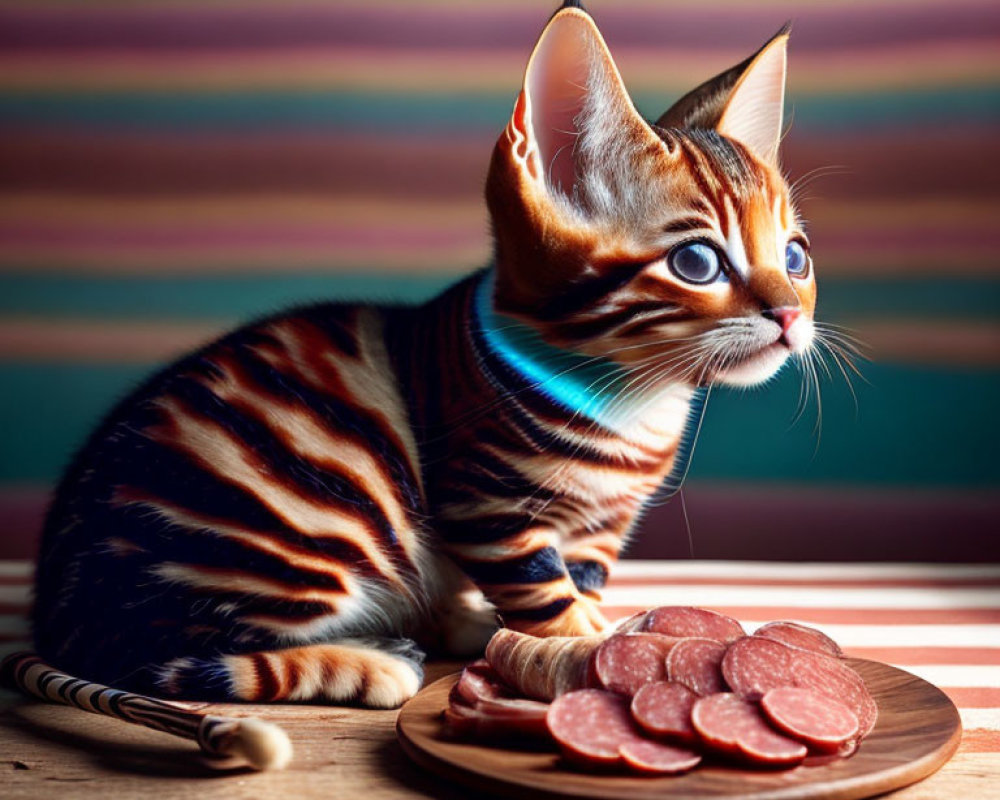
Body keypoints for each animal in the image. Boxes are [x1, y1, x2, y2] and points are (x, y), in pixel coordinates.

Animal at [27, 4, 816, 708]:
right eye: (696, 264)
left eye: (795, 257)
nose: (788, 314)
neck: (637, 400)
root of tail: (55, 613)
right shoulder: (486, 503)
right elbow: (545, 594)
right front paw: (586, 651)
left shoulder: (600, 530)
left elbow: (581, 581)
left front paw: (607, 629)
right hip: (306, 512)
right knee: (166, 659)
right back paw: (373, 662)